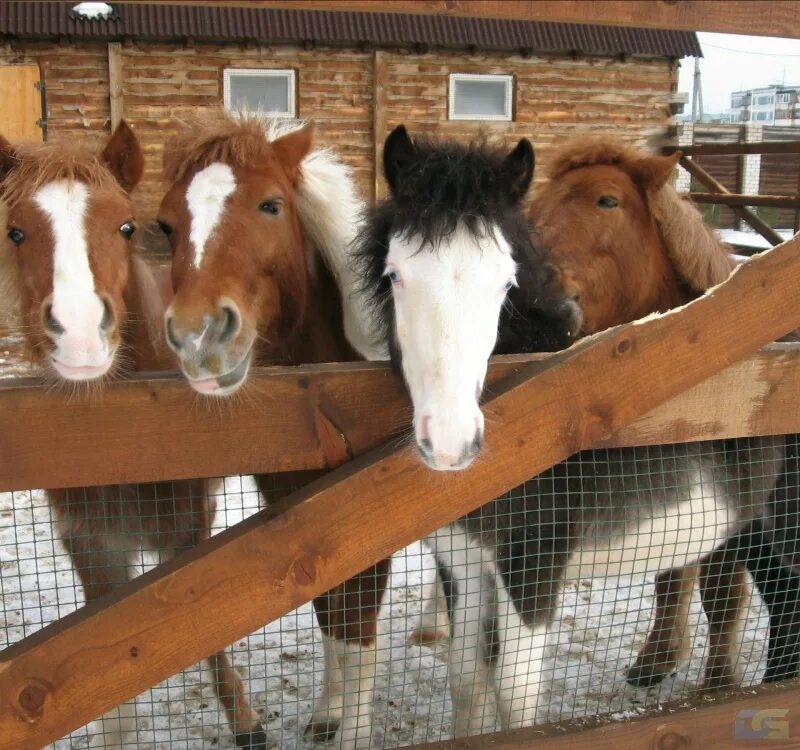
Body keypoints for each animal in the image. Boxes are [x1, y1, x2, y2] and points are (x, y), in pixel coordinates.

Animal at [0, 126, 266, 748]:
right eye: (15, 232)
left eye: (124, 226)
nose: (78, 335)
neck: (123, 442)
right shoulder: (93, 548)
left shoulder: (190, 532)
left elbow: (212, 632)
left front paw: (245, 721)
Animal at [155, 108, 388, 748]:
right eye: (165, 223)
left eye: (271, 205)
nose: (198, 336)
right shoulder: (309, 524)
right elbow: (328, 618)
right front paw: (327, 713)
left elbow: (356, 637)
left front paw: (353, 731)